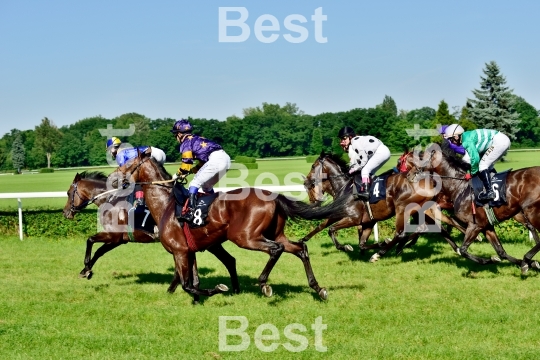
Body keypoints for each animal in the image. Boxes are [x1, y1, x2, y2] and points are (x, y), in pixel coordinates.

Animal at [62, 170, 239, 296]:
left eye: (69, 193)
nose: (65, 212)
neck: (111, 201)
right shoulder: (119, 240)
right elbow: (99, 251)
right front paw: (86, 271)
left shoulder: (114, 236)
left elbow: (90, 241)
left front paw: (86, 269)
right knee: (229, 260)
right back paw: (235, 290)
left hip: (206, 242)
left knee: (226, 260)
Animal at [116, 152, 350, 300]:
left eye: (126, 164)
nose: (115, 179)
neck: (166, 204)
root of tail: (274, 196)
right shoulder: (188, 251)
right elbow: (191, 282)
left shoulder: (180, 251)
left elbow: (188, 284)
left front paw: (219, 289)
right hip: (275, 232)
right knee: (300, 248)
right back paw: (318, 288)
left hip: (245, 237)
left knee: (276, 249)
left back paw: (264, 284)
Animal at [302, 153, 470, 262]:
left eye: (313, 166)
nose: (306, 181)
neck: (345, 187)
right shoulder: (368, 222)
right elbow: (361, 243)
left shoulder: (352, 218)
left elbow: (330, 229)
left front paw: (346, 247)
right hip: (423, 209)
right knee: (436, 226)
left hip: (402, 208)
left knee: (402, 233)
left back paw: (381, 253)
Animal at [408, 142, 540, 272]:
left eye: (421, 157)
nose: (409, 175)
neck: (460, 186)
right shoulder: (486, 226)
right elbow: (501, 252)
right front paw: (528, 263)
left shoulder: (474, 225)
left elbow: (463, 250)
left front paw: (492, 260)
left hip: (531, 211)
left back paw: (526, 258)